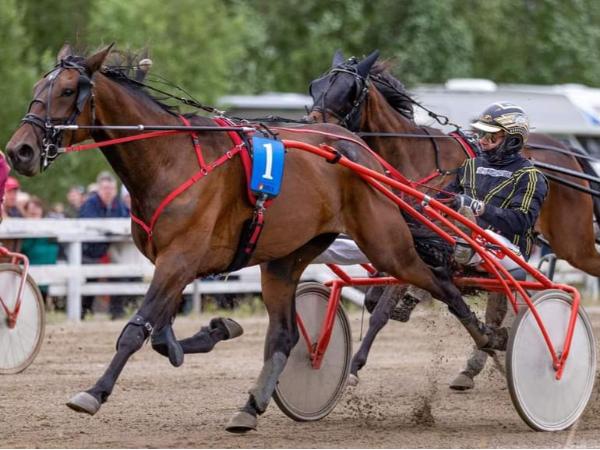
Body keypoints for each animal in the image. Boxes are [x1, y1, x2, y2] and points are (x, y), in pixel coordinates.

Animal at [5, 44, 503, 433]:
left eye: (68, 91)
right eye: (39, 86)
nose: (19, 150)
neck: (167, 160)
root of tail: (360, 150)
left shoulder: (179, 260)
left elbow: (135, 331)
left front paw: (94, 392)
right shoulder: (175, 265)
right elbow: (161, 335)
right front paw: (215, 330)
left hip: (385, 243)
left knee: (440, 283)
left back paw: (489, 344)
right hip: (285, 259)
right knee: (285, 335)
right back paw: (251, 405)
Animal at [307, 50, 600, 383]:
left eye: (349, 91)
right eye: (315, 86)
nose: (312, 126)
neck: (412, 156)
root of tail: (568, 151)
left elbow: (381, 309)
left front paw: (356, 365)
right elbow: (379, 298)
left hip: (573, 243)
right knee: (498, 302)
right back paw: (474, 364)